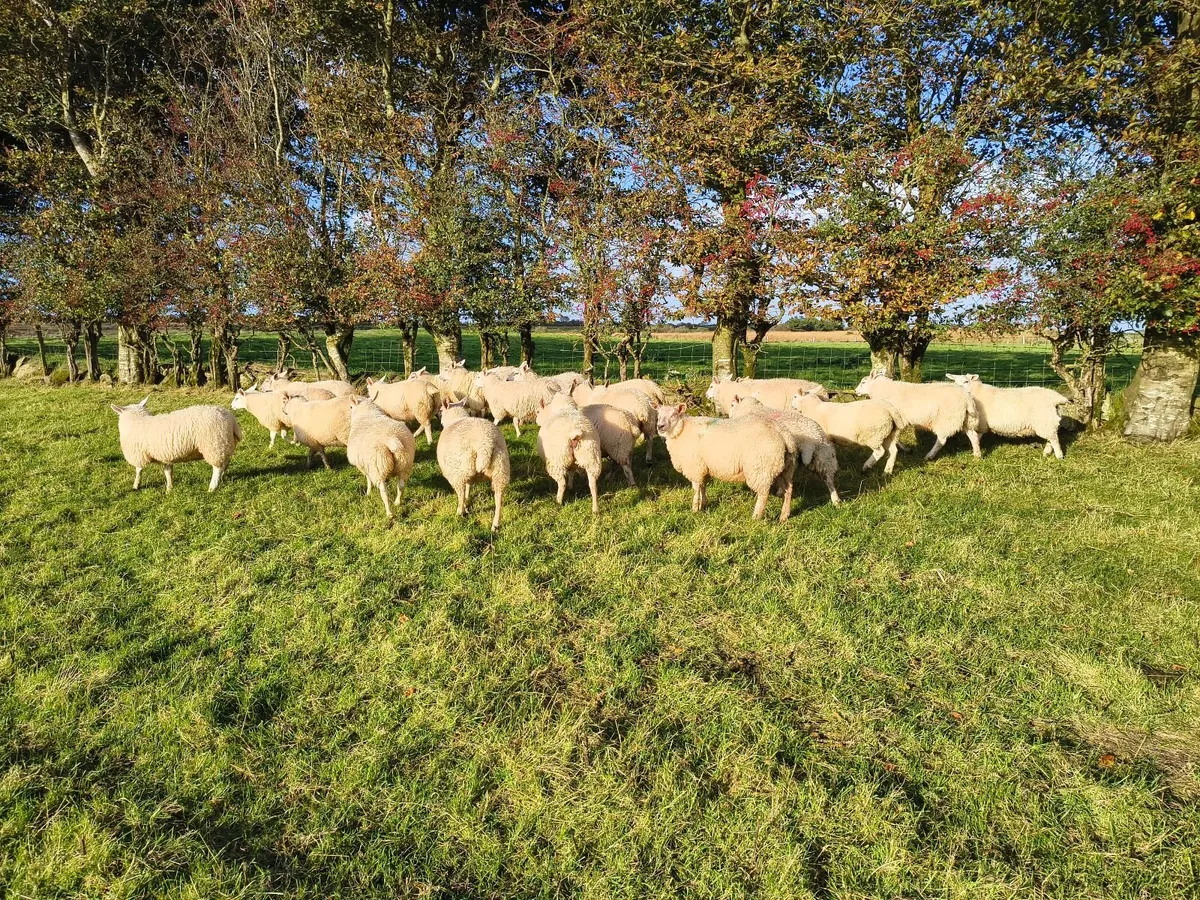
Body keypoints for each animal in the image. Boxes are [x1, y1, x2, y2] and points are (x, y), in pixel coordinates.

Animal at [111, 397, 242, 492]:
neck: (137, 421)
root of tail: (231, 419)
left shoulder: (139, 454)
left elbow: (139, 470)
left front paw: (136, 485)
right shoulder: (165, 455)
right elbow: (168, 472)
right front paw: (169, 488)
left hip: (213, 445)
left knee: (217, 468)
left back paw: (212, 487)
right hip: (224, 443)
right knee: (225, 463)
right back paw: (222, 478)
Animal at [436, 400, 511, 531]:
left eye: (441, 410)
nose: (436, 415)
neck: (455, 418)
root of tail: (484, 443)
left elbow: (465, 491)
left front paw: (465, 506)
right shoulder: (470, 475)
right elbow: (469, 486)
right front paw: (468, 500)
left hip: (459, 472)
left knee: (460, 494)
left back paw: (459, 512)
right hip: (500, 470)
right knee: (499, 498)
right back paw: (495, 524)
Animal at [655, 403, 794, 521]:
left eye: (673, 414)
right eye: (658, 414)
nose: (660, 426)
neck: (681, 430)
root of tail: (782, 434)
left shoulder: (695, 467)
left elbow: (696, 489)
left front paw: (694, 509)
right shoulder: (704, 467)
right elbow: (703, 486)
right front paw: (703, 505)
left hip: (760, 468)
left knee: (764, 494)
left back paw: (756, 517)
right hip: (785, 468)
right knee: (788, 489)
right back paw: (784, 516)